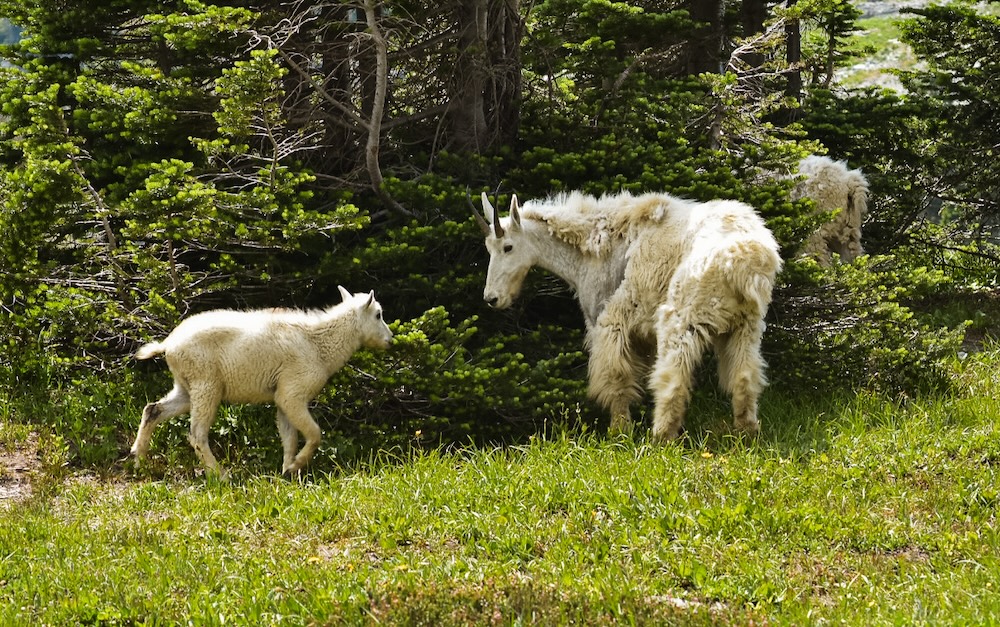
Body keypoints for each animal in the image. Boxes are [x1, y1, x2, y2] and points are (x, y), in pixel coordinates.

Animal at [132, 288, 394, 476]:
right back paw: (221, 475)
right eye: (378, 314)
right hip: (206, 384)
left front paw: (287, 471)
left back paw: (138, 458)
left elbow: (289, 438)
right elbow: (315, 434)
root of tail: (168, 345)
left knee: (152, 409)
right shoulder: (293, 393)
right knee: (196, 434)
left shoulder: (283, 397)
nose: (390, 339)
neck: (319, 344)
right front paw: (297, 465)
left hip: (186, 387)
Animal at [472, 191, 784, 442]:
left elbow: (616, 377)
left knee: (674, 375)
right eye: (488, 248)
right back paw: (745, 432)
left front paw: (619, 430)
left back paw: (661, 436)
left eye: (508, 247)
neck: (590, 247)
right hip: (746, 325)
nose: (492, 298)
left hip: (683, 315)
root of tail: (746, 262)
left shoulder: (607, 321)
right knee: (745, 374)